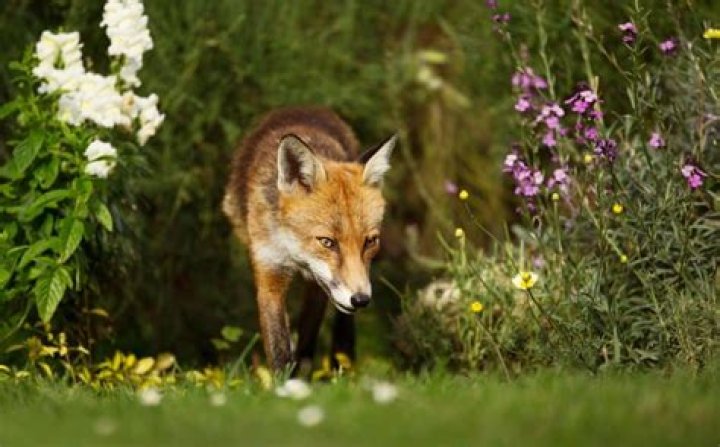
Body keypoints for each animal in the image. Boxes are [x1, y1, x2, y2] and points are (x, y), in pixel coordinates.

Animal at [222, 106, 396, 372]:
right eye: (327, 242)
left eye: (370, 241)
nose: (360, 300)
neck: (294, 252)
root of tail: (305, 108)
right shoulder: (269, 271)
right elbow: (279, 345)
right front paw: (284, 378)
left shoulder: (319, 286)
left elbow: (306, 340)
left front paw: (301, 375)